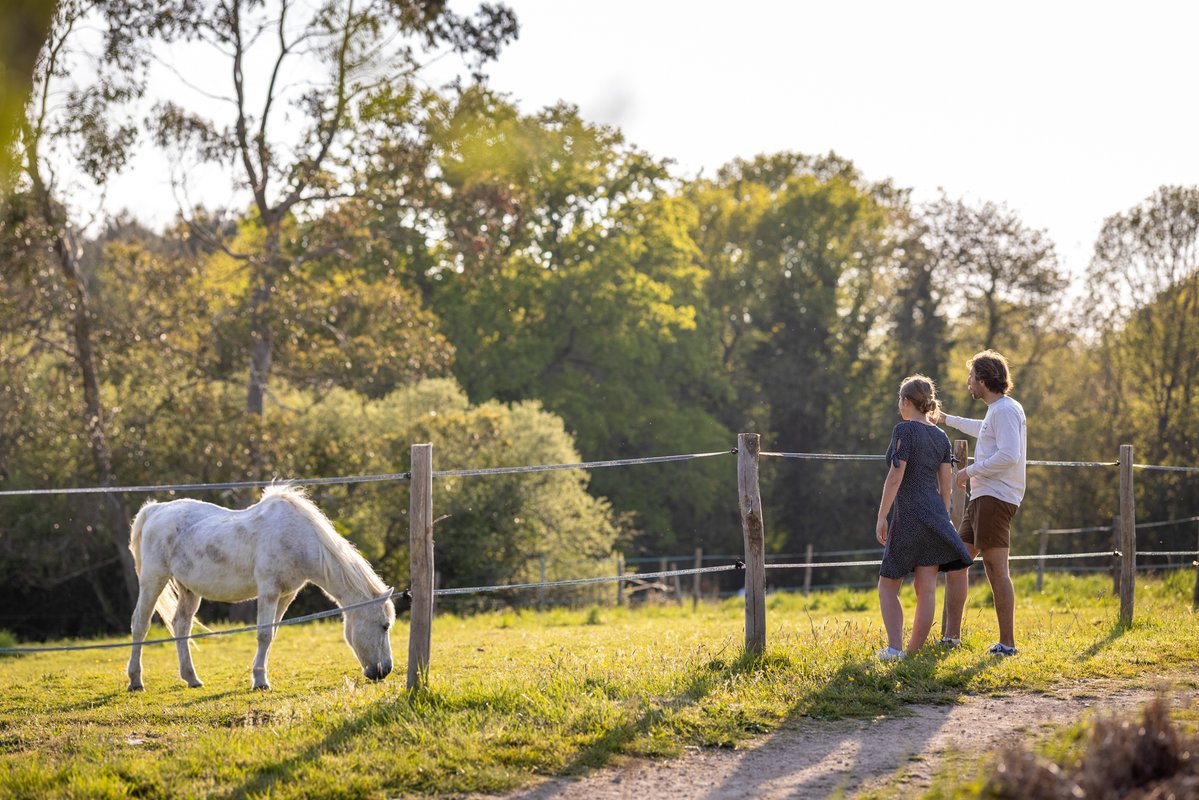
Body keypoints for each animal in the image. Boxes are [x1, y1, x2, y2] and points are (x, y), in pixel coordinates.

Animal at [128, 484, 395, 690]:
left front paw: (260, 676)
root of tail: (156, 510)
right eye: (384, 625)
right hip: (153, 579)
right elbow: (264, 634)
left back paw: (192, 678)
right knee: (140, 624)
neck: (298, 538)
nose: (384, 671)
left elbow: (272, 635)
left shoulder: (286, 595)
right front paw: (260, 682)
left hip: (189, 589)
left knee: (181, 625)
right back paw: (135, 681)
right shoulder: (269, 591)